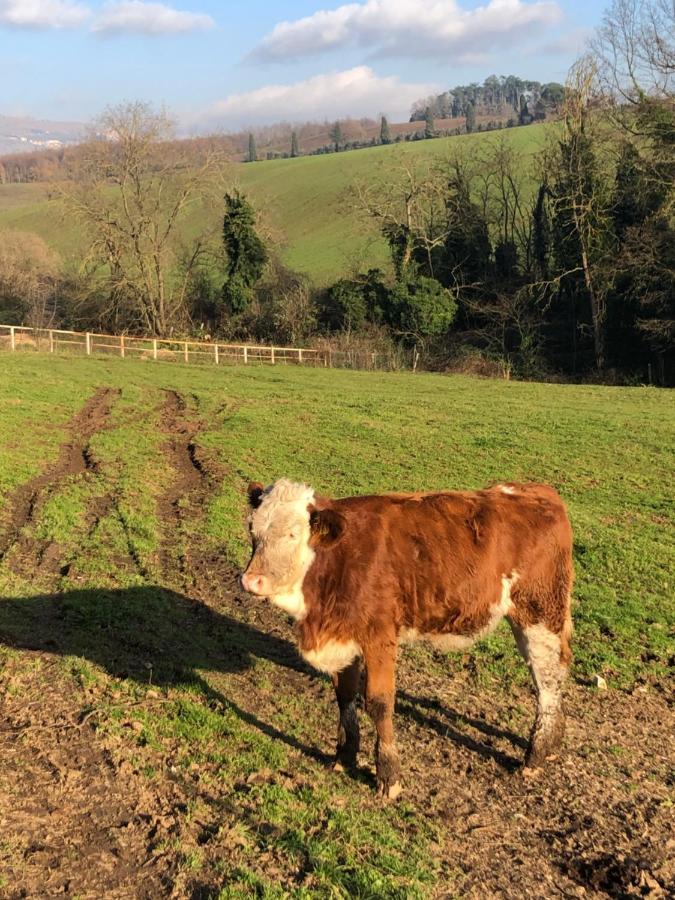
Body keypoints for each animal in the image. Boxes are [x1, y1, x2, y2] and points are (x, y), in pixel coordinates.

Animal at [240, 482, 572, 800]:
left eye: (293, 533)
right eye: (253, 529)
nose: (251, 580)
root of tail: (537, 491)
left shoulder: (380, 635)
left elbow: (379, 702)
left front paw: (388, 776)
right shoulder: (342, 636)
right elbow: (345, 696)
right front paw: (344, 756)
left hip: (540, 612)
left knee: (547, 679)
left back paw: (535, 755)